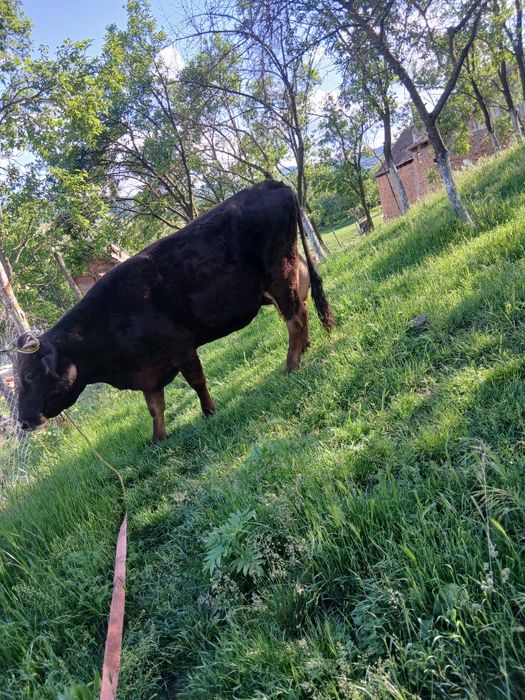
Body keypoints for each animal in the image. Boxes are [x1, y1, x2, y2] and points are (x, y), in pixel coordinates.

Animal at [16, 180, 335, 443]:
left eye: (29, 375)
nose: (23, 422)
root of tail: (271, 184)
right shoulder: (148, 369)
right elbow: (154, 407)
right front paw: (157, 439)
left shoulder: (180, 346)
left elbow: (196, 382)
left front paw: (208, 412)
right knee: (302, 307)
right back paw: (305, 348)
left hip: (280, 271)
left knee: (295, 316)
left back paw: (291, 365)